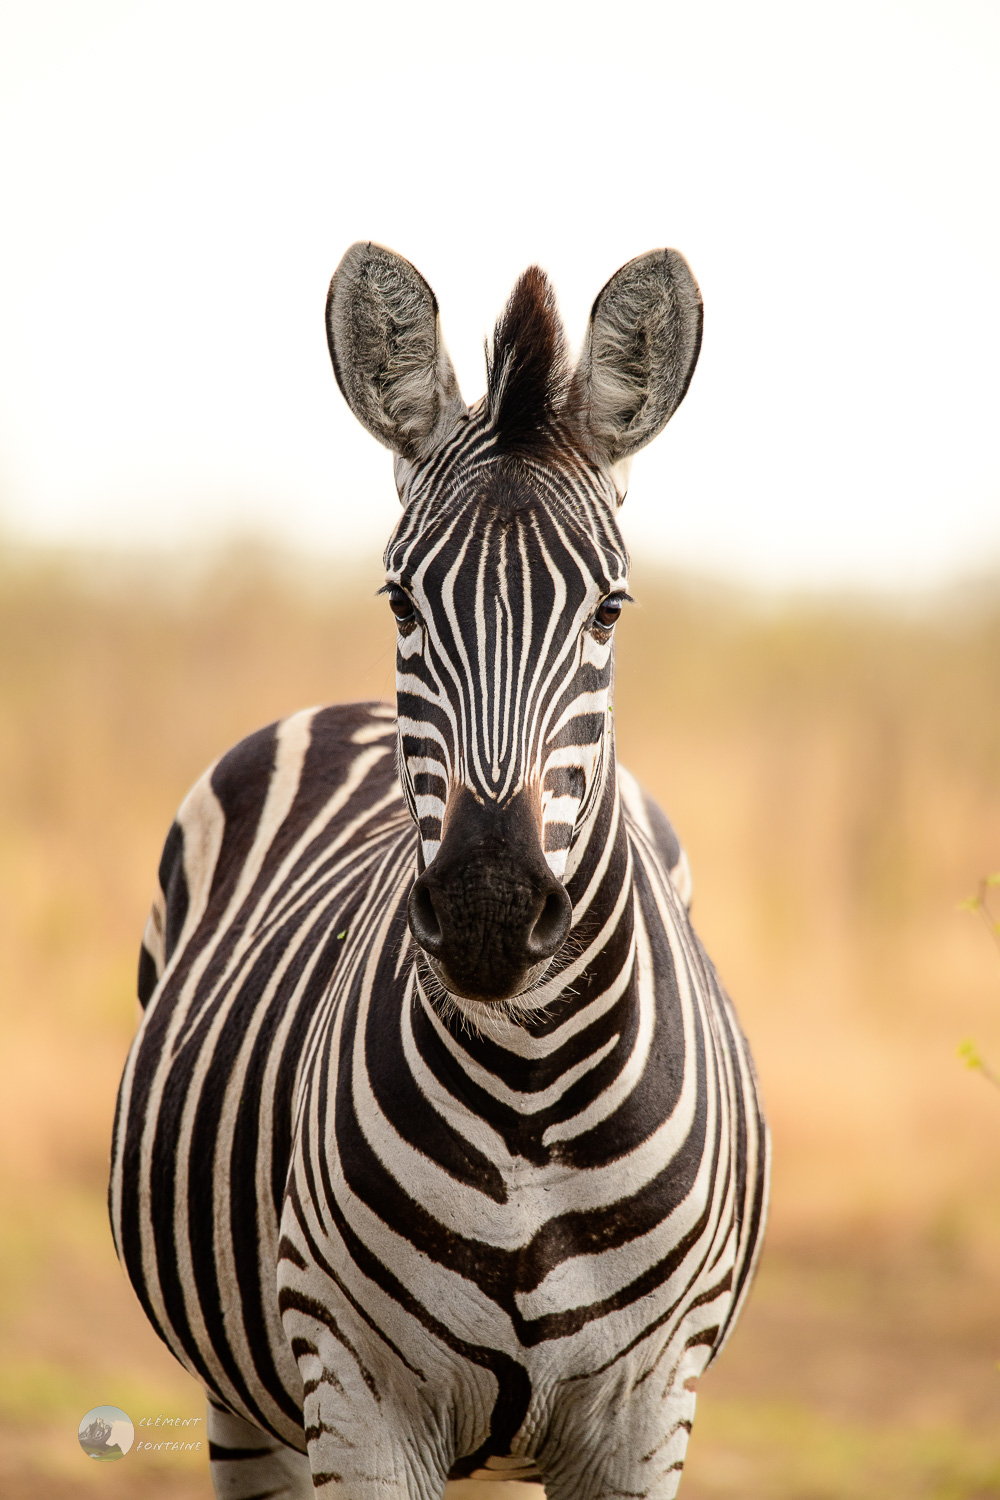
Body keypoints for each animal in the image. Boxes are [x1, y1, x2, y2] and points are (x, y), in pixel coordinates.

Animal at [107, 240, 767, 1494]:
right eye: (401, 599)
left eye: (609, 611)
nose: (486, 914)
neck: (530, 1095)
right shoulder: (357, 1397)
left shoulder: (646, 1414)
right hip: (243, 1402)